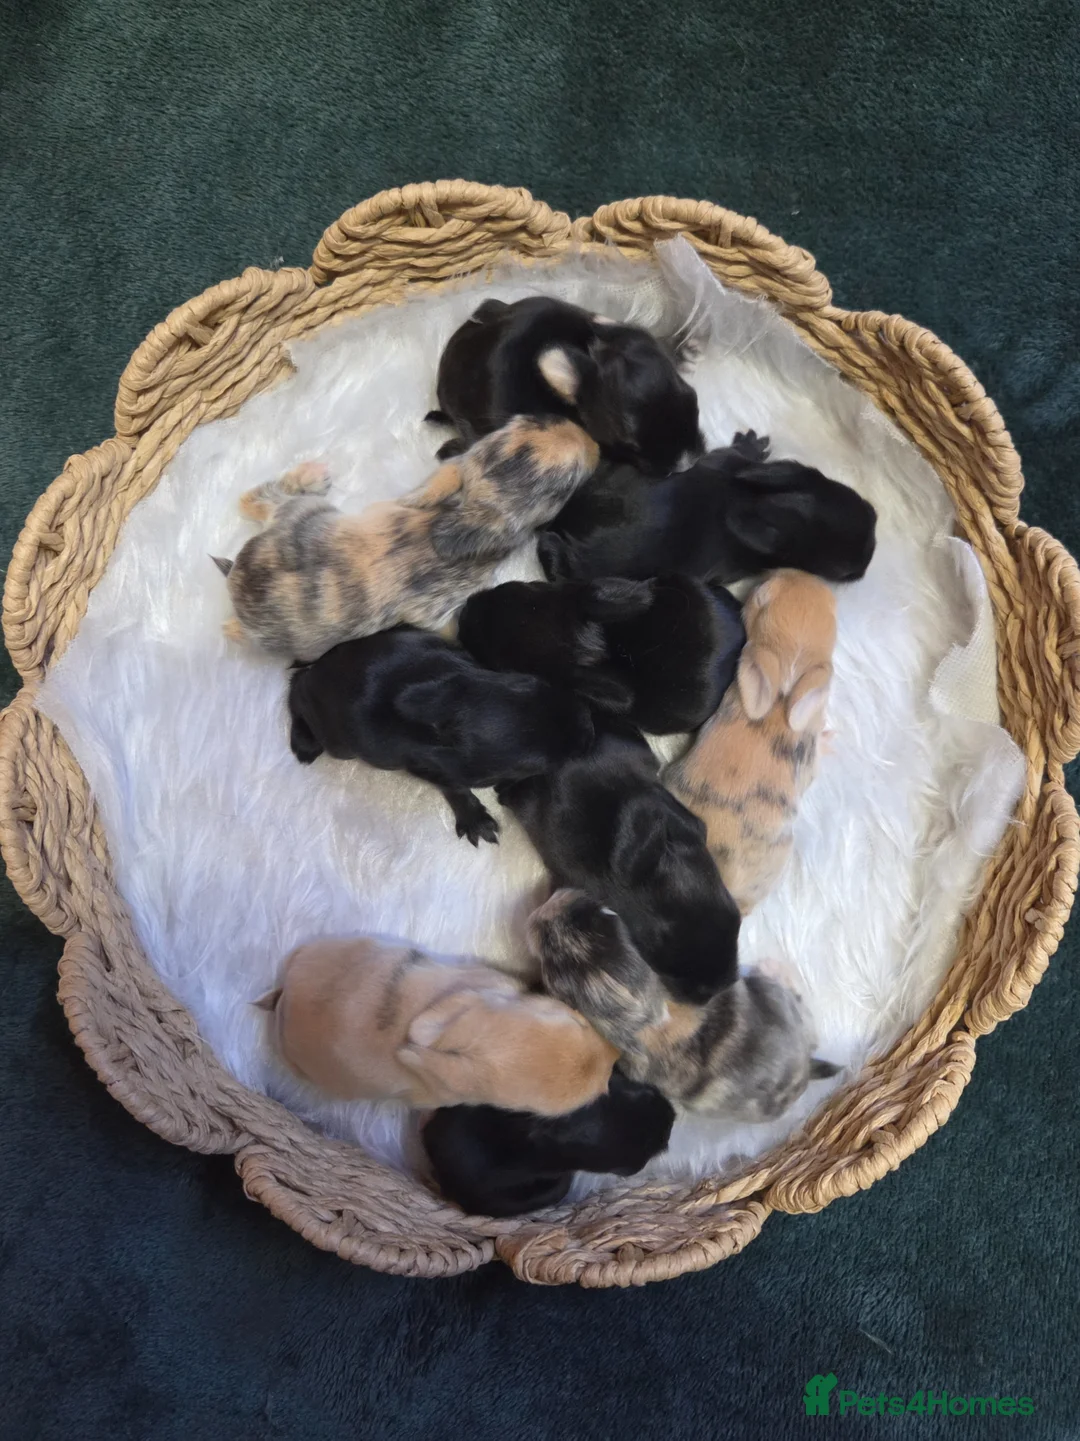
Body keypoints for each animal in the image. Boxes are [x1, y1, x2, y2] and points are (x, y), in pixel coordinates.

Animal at [214, 415, 599, 662]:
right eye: (567, 482)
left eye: (531, 420)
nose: (594, 442)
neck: (456, 513)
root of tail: (237, 578)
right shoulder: (438, 611)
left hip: (304, 512)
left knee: (254, 499)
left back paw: (312, 473)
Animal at [288, 624, 594, 845]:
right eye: (538, 765)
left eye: (538, 683)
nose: (590, 727)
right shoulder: (430, 766)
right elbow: (455, 787)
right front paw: (475, 818)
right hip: (338, 742)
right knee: (297, 689)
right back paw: (304, 739)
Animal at [529, 889, 839, 1120]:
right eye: (605, 915)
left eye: (551, 967)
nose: (554, 900)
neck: (649, 1014)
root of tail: (806, 1069)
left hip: (774, 995)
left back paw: (774, 966)